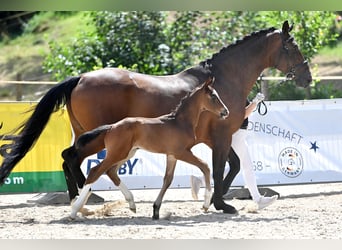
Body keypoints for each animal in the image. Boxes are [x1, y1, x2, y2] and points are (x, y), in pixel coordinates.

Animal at [70, 77, 228, 219]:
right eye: (213, 96)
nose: (225, 112)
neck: (180, 122)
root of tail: (111, 127)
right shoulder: (182, 152)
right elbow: (205, 166)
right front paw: (205, 204)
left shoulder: (171, 155)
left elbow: (167, 180)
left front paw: (156, 210)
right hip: (117, 154)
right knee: (95, 171)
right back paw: (74, 211)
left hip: (128, 153)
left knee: (111, 171)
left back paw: (131, 204)